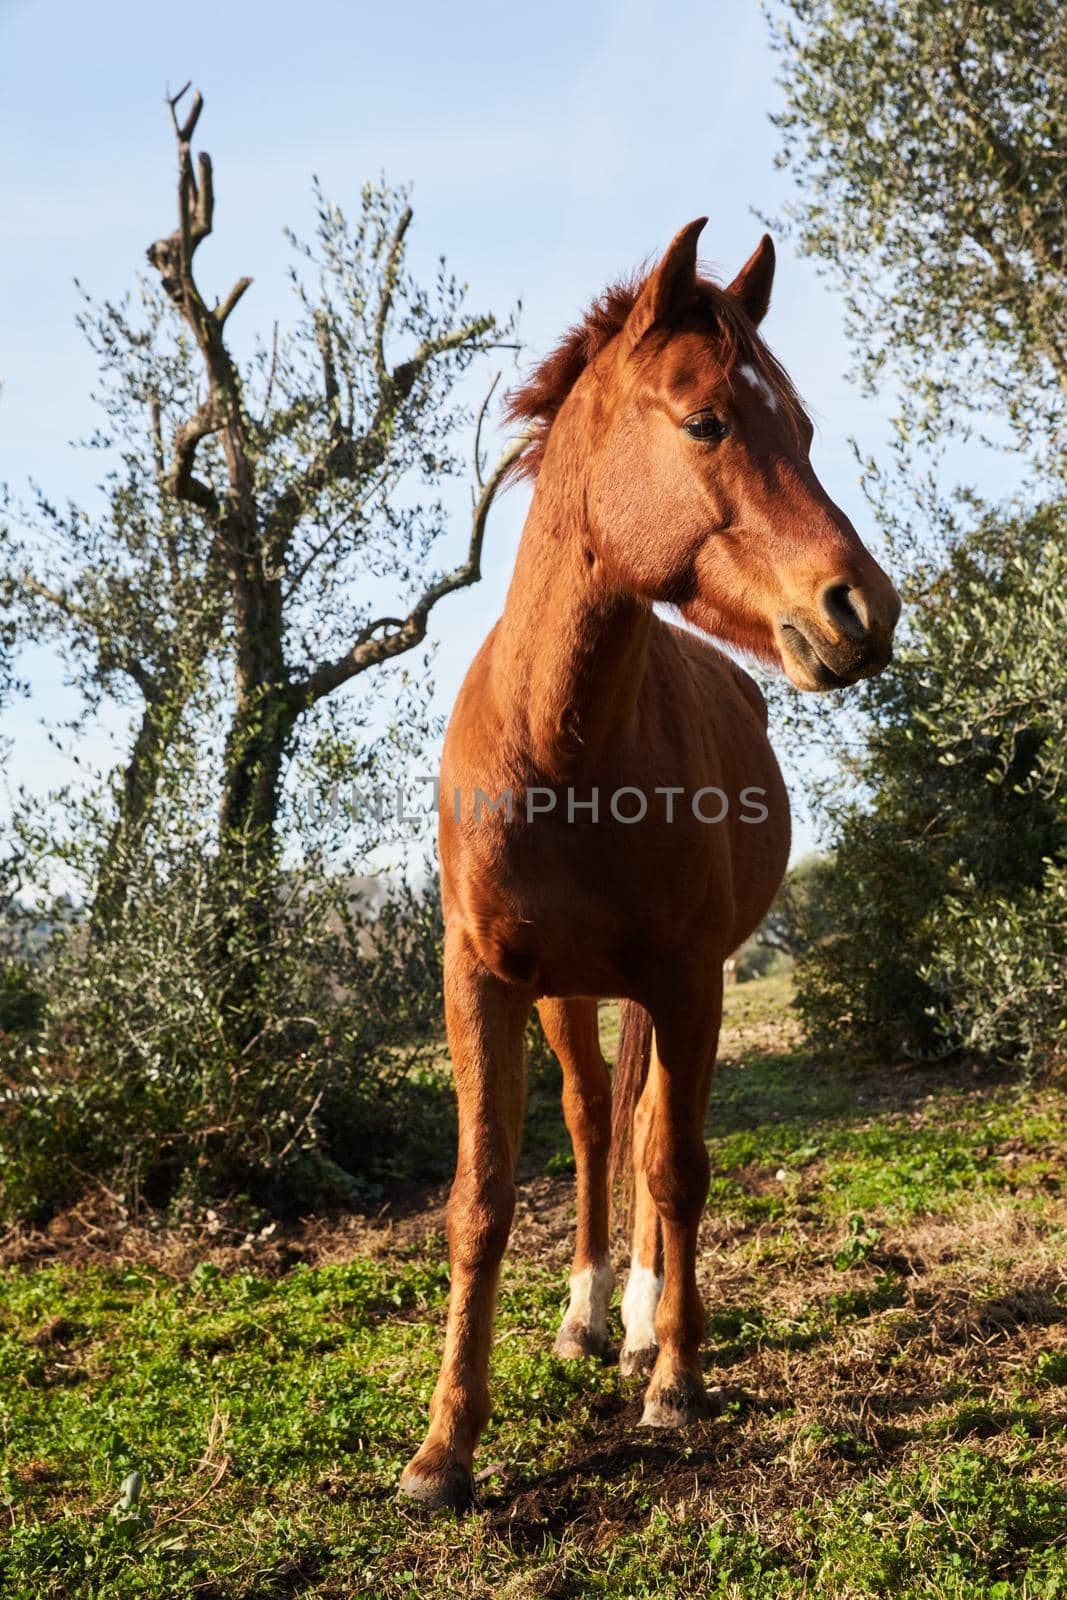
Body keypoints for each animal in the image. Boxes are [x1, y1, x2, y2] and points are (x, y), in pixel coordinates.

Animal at [399, 219, 902, 1504]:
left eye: (803, 432)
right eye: (707, 421)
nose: (861, 610)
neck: (560, 749)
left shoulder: (686, 980)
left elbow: (674, 1165)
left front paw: (676, 1377)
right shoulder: (481, 980)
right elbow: (481, 1195)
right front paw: (443, 1446)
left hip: (657, 988)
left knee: (639, 1134)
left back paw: (636, 1325)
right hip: (571, 992)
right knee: (590, 1123)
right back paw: (585, 1316)